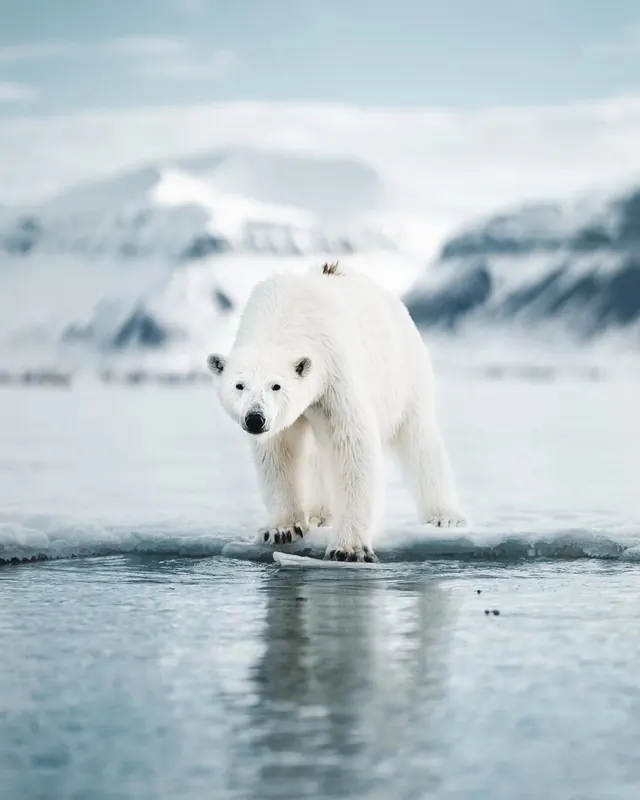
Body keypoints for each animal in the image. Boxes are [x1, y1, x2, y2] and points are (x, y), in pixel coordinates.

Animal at [207, 262, 466, 562]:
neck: (284, 312)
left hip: (406, 371)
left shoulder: (333, 370)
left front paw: (348, 548)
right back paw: (320, 514)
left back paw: (445, 516)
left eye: (276, 385)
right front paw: (281, 529)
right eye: (239, 385)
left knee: (419, 440)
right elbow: (278, 451)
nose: (255, 419)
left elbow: (352, 443)